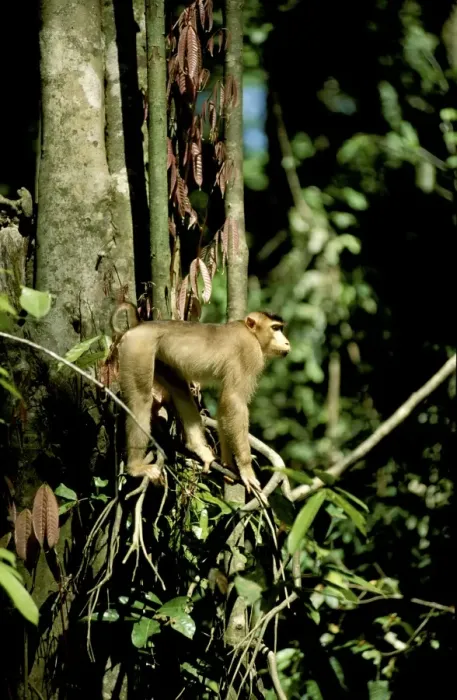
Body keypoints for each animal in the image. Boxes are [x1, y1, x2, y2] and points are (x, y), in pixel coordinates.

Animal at [111, 302, 291, 494]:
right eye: (275, 328)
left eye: (280, 328)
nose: (287, 342)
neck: (251, 333)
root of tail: (140, 325)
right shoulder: (249, 352)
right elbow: (234, 401)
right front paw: (246, 470)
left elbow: (225, 407)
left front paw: (228, 464)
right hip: (138, 349)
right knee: (141, 399)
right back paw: (135, 467)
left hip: (159, 358)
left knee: (179, 388)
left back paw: (199, 449)